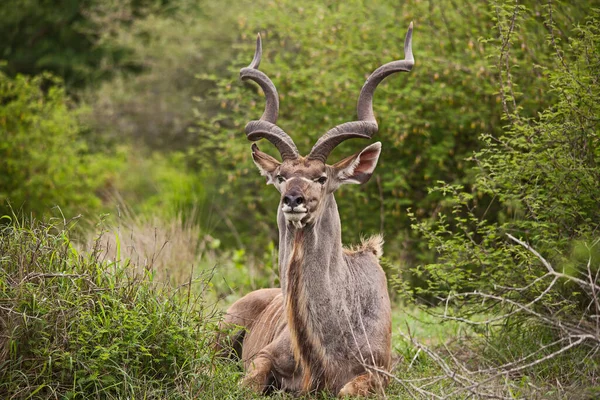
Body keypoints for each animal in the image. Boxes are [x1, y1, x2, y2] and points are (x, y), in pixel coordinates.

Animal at [218, 23, 414, 396]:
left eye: (322, 178)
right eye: (281, 176)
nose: (293, 200)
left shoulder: (379, 374)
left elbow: (347, 390)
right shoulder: (264, 357)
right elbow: (245, 383)